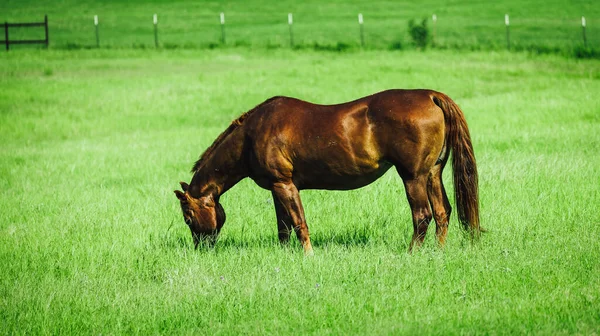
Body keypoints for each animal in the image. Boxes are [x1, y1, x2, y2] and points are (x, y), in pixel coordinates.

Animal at [173, 89, 478, 255]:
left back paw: (412, 253)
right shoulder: (277, 187)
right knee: (442, 212)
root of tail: (431, 96)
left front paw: (308, 255)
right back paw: (438, 251)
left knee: (422, 215)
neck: (252, 135)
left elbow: (299, 222)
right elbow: (283, 227)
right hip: (432, 174)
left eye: (188, 218)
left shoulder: (285, 185)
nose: (202, 249)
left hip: (413, 177)